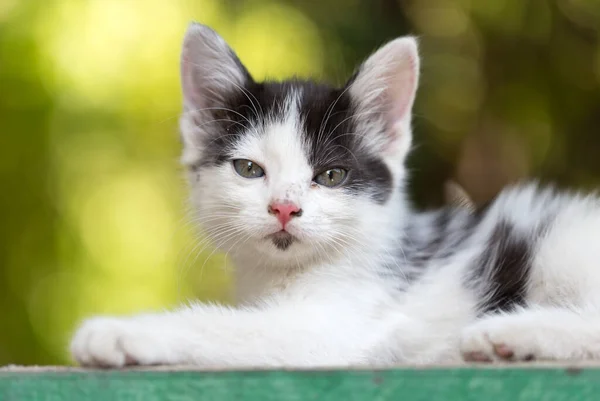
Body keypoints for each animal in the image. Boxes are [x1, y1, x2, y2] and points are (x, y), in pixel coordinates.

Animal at [70, 21, 600, 366]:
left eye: (330, 176)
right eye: (248, 169)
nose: (284, 207)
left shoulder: (338, 325)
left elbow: (227, 326)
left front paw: (119, 333)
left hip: (564, 245)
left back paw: (508, 332)